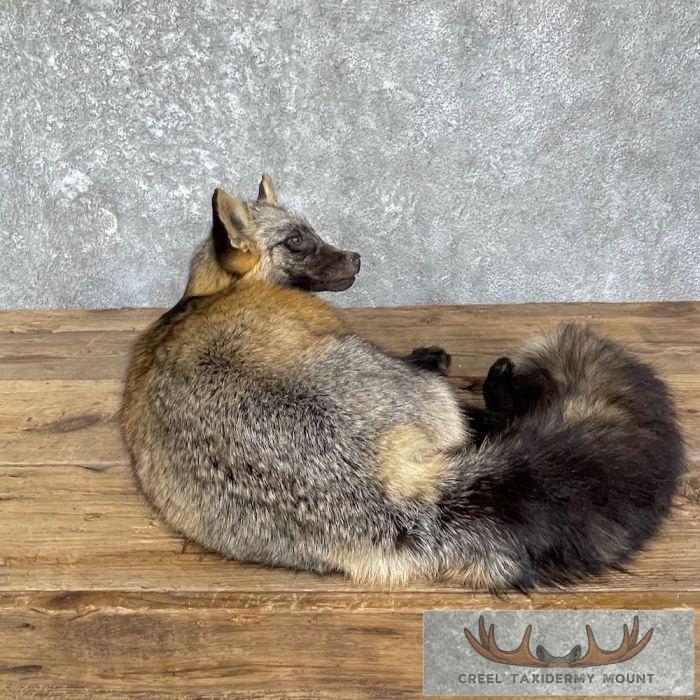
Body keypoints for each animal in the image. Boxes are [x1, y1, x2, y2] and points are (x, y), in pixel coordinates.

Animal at [121, 174, 684, 591]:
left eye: (313, 230)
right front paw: (433, 355)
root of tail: (393, 491)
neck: (203, 298)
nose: (356, 258)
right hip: (413, 386)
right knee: (489, 420)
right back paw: (492, 386)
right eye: (297, 241)